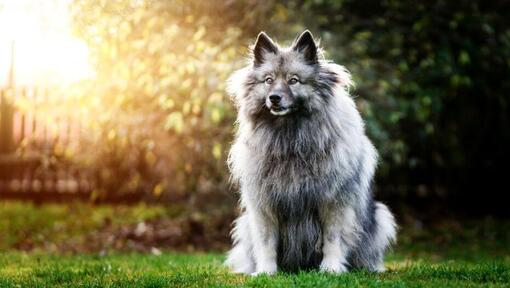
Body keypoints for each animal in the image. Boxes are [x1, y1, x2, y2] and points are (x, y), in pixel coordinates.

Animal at [225, 30, 396, 276]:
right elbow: (266, 241)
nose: (274, 98)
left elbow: (333, 238)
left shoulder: (334, 202)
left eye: (293, 80)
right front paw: (266, 271)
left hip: (380, 216)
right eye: (268, 80)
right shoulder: (264, 205)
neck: (290, 139)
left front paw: (331, 268)